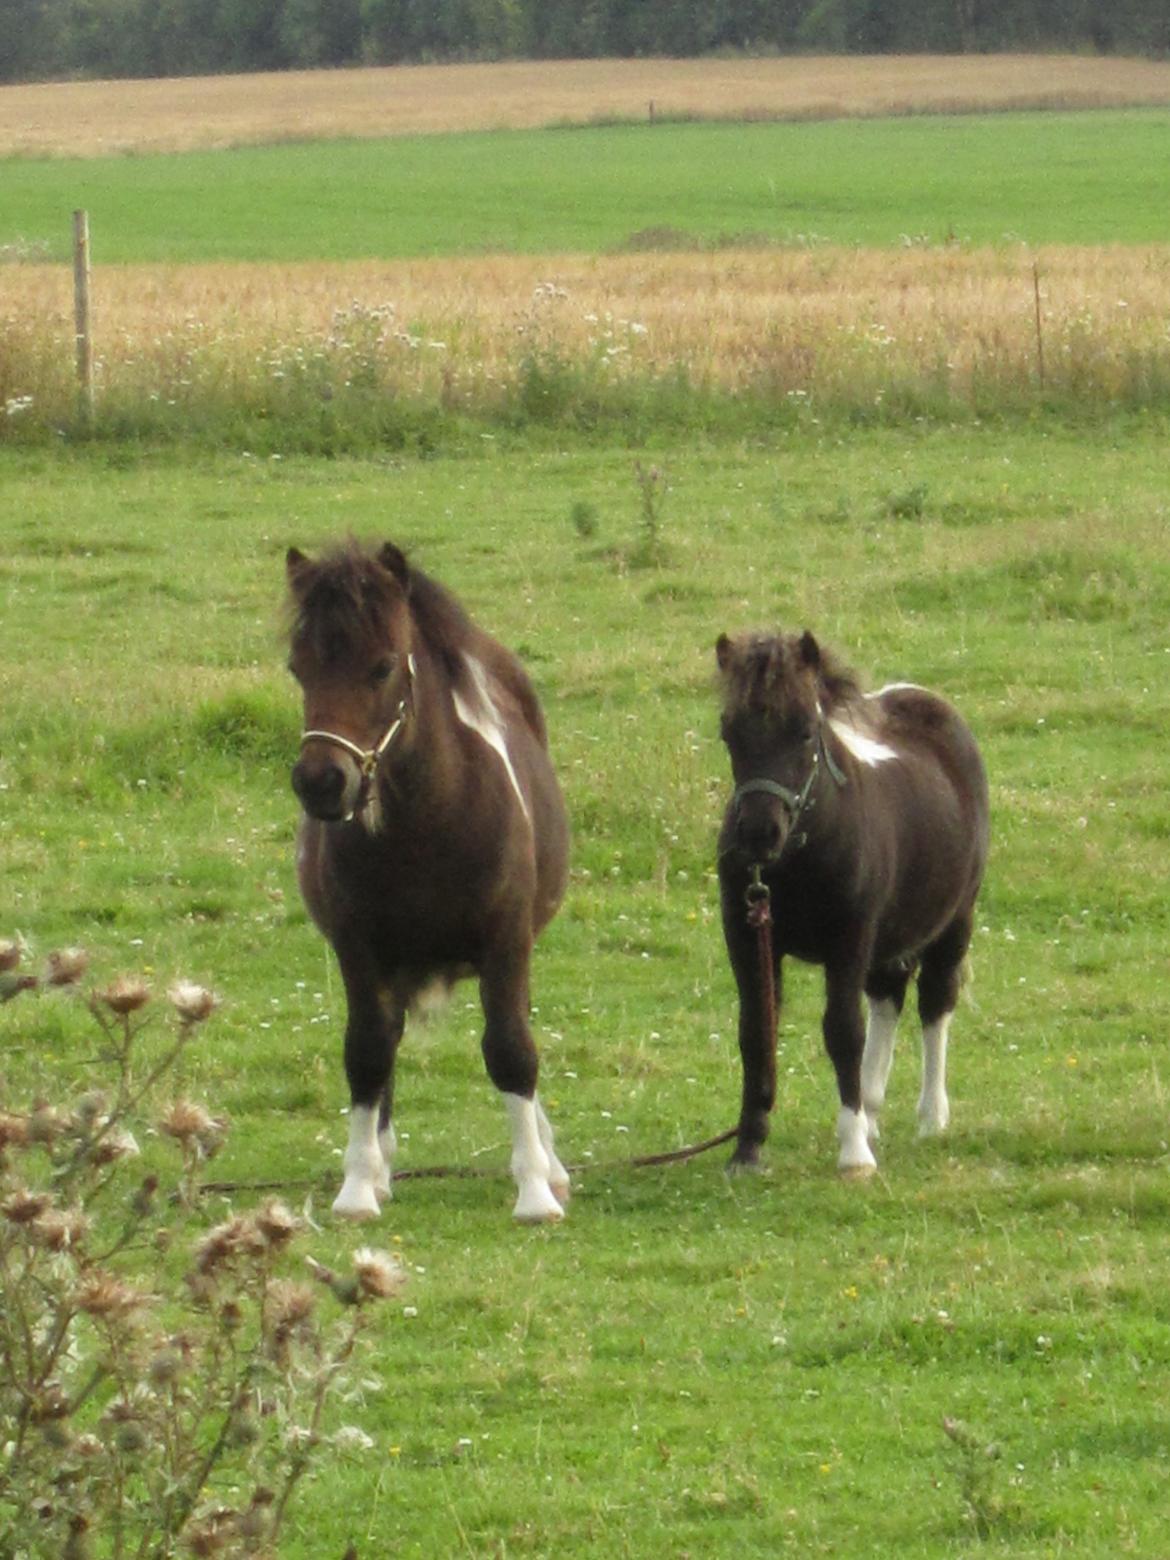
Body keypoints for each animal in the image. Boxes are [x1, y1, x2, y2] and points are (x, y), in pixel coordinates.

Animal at [288, 542, 574, 1223]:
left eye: (383, 667)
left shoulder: (506, 941)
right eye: (297, 669)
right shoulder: (358, 948)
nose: (321, 782)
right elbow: (367, 1050)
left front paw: (534, 1191)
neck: (430, 825)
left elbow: (511, 1049)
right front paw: (358, 1187)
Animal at [714, 627, 992, 1173]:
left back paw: (930, 1118)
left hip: (954, 921)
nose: (758, 833)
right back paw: (873, 1111)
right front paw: (748, 1149)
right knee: (888, 998)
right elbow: (756, 1033)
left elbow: (843, 1030)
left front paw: (854, 1154)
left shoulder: (850, 937)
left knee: (935, 1003)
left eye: (805, 732)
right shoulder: (748, 935)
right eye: (728, 733)